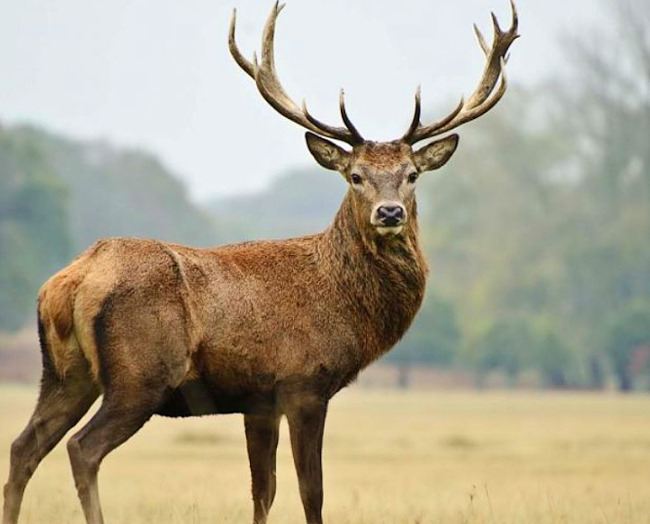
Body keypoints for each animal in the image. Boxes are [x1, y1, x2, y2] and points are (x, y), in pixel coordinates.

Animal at [1, 4, 516, 524]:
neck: (345, 303)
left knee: (24, 446)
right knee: (82, 448)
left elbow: (262, 490)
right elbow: (312, 491)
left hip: (65, 373)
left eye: (411, 175)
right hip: (140, 374)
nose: (389, 213)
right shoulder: (304, 382)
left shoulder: (258, 400)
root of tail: (69, 281)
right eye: (355, 175)